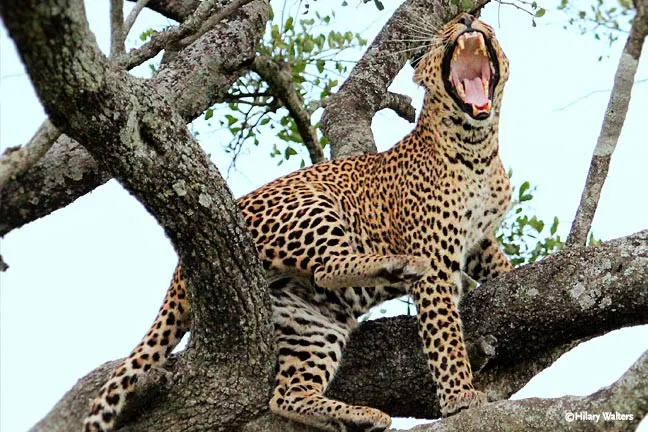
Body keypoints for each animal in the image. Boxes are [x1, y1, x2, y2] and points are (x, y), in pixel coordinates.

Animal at [83, 12, 512, 432]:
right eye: (447, 29)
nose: (466, 17)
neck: (476, 148)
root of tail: (177, 273)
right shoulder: (436, 259)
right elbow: (445, 334)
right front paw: (459, 397)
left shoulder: (478, 239)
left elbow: (497, 263)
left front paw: (509, 275)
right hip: (312, 206)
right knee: (328, 266)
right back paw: (398, 266)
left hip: (312, 323)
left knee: (286, 393)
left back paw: (357, 416)